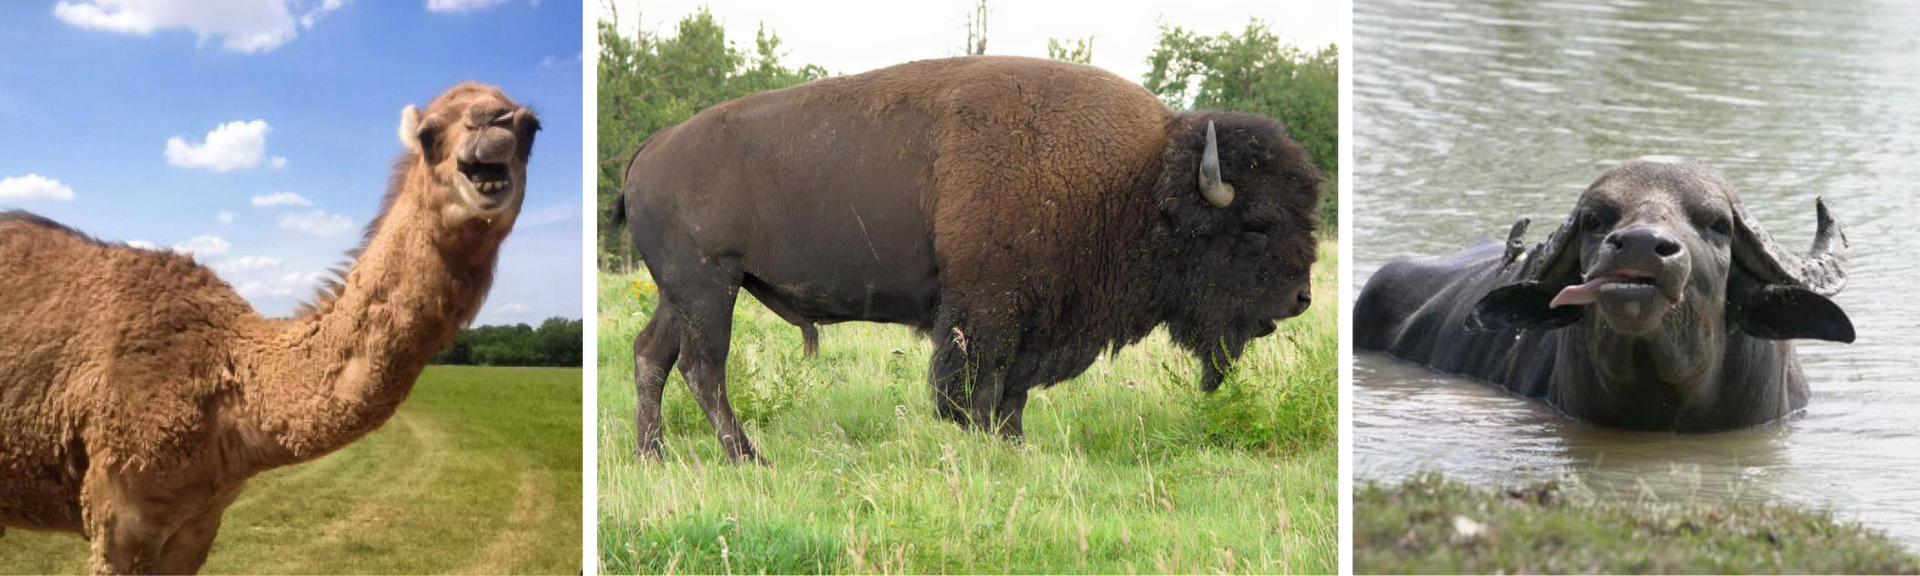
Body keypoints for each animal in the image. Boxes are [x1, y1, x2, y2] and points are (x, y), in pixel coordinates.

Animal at [0, 81, 539, 575]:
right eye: (428, 135)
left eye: (531, 128)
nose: (491, 125)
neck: (230, 381)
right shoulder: (117, 514)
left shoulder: (199, 523)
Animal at [615, 56, 1322, 463]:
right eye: (1256, 227)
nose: (1301, 299)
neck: (1137, 181)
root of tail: (652, 147)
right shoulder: (988, 312)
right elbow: (978, 388)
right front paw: (986, 442)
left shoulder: (1035, 319)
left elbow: (1013, 394)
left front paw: (1016, 447)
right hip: (710, 286)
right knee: (703, 368)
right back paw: (747, 458)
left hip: (687, 292)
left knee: (653, 354)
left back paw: (654, 455)